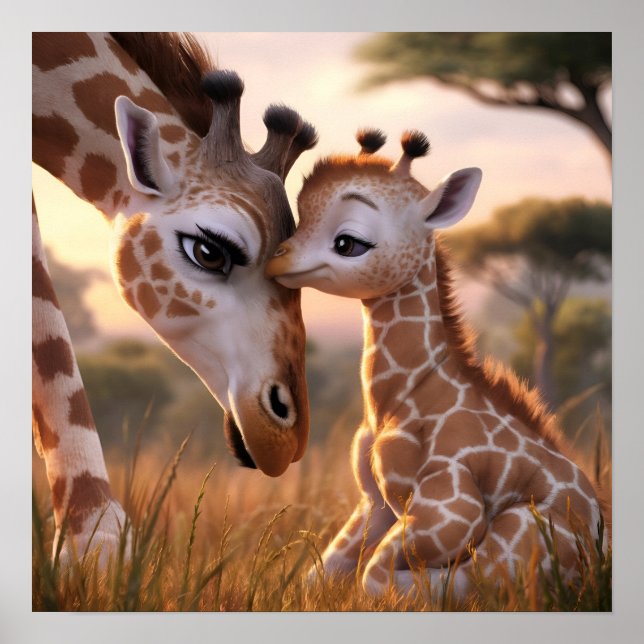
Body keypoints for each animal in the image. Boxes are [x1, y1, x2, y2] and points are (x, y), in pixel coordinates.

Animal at [266, 129, 607, 598]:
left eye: (348, 242)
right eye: (298, 221)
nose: (275, 259)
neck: (399, 397)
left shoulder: (454, 502)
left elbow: (380, 577)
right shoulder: (374, 499)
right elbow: (318, 577)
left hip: (525, 525)